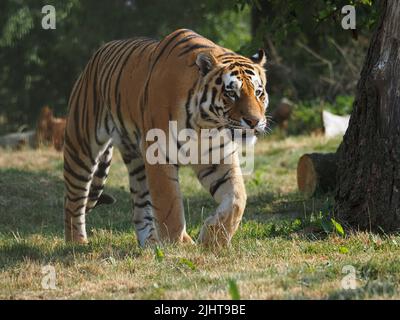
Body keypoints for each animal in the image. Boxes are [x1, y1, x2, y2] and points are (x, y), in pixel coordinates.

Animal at [63, 28, 268, 248]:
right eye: (231, 93)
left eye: (258, 92)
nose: (254, 121)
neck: (206, 125)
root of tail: (99, 52)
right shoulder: (158, 154)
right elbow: (169, 205)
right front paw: (179, 245)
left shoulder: (217, 158)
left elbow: (237, 199)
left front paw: (212, 240)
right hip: (81, 146)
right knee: (73, 199)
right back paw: (76, 242)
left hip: (137, 163)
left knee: (140, 205)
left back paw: (150, 242)